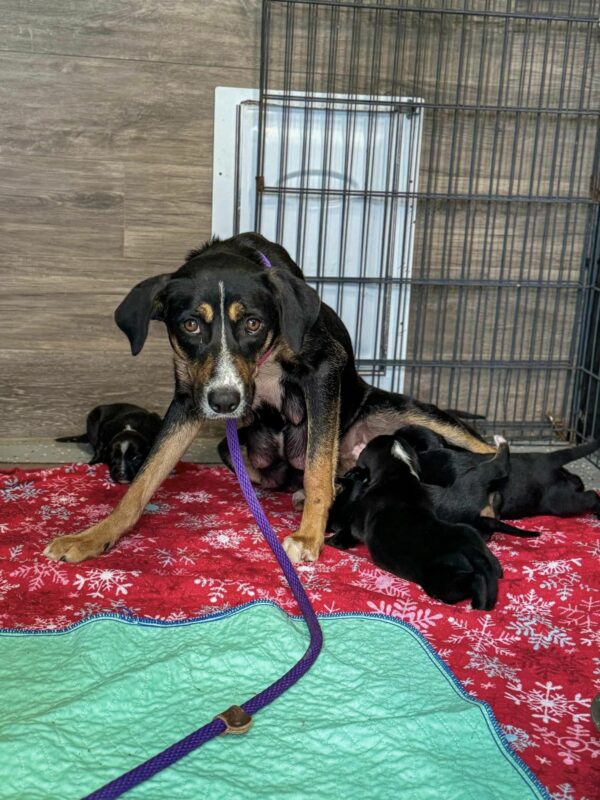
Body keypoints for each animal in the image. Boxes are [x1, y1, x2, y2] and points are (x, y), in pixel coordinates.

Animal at [326, 434, 504, 608]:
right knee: (494, 569)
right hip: (471, 536)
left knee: (475, 580)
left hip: (442, 581)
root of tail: (470, 550)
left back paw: (476, 604)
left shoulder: (358, 520)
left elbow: (350, 529)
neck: (398, 472)